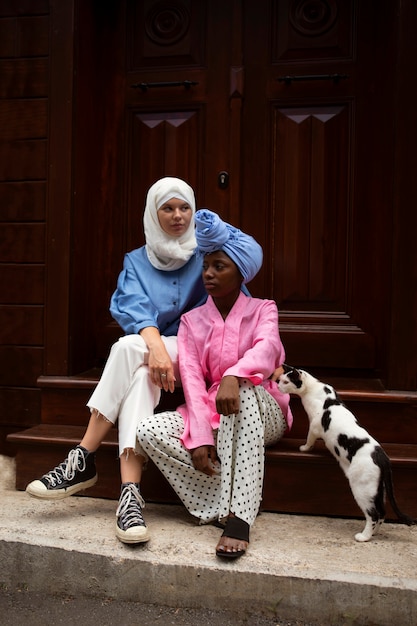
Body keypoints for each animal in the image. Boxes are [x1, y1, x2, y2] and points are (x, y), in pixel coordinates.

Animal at [276, 366, 412, 540]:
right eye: (280, 380)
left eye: (286, 382)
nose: (278, 385)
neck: (315, 388)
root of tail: (381, 456)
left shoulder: (314, 425)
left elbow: (309, 439)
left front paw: (305, 448)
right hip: (378, 490)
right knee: (382, 512)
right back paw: (374, 533)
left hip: (362, 488)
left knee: (374, 514)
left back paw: (364, 537)